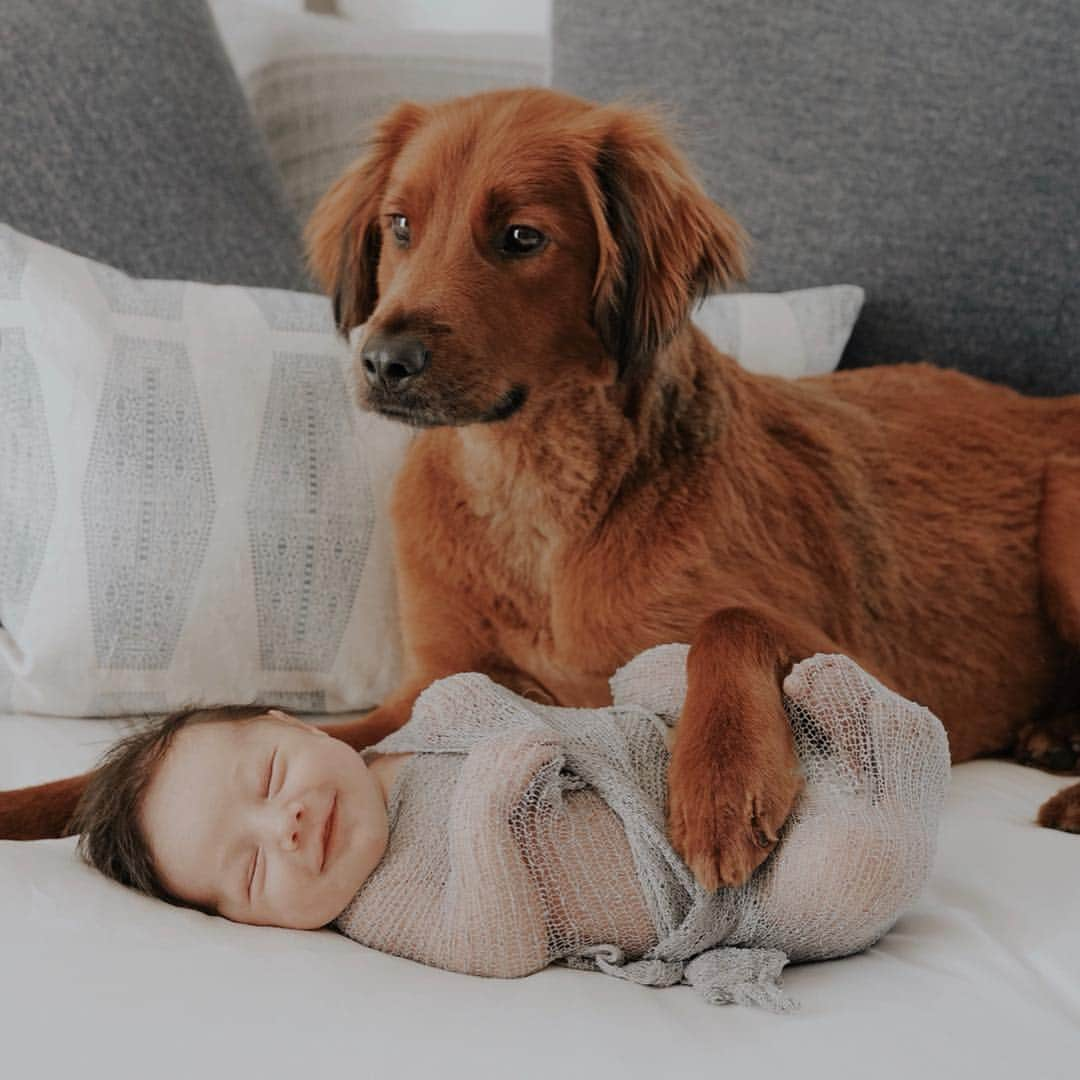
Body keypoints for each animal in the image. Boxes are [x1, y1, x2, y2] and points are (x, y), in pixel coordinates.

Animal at [2, 88, 1080, 881]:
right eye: (400, 225)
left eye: (521, 238)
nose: (383, 359)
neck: (535, 498)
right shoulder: (440, 683)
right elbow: (289, 733)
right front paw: (46, 801)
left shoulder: (868, 664)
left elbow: (730, 623)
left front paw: (719, 785)